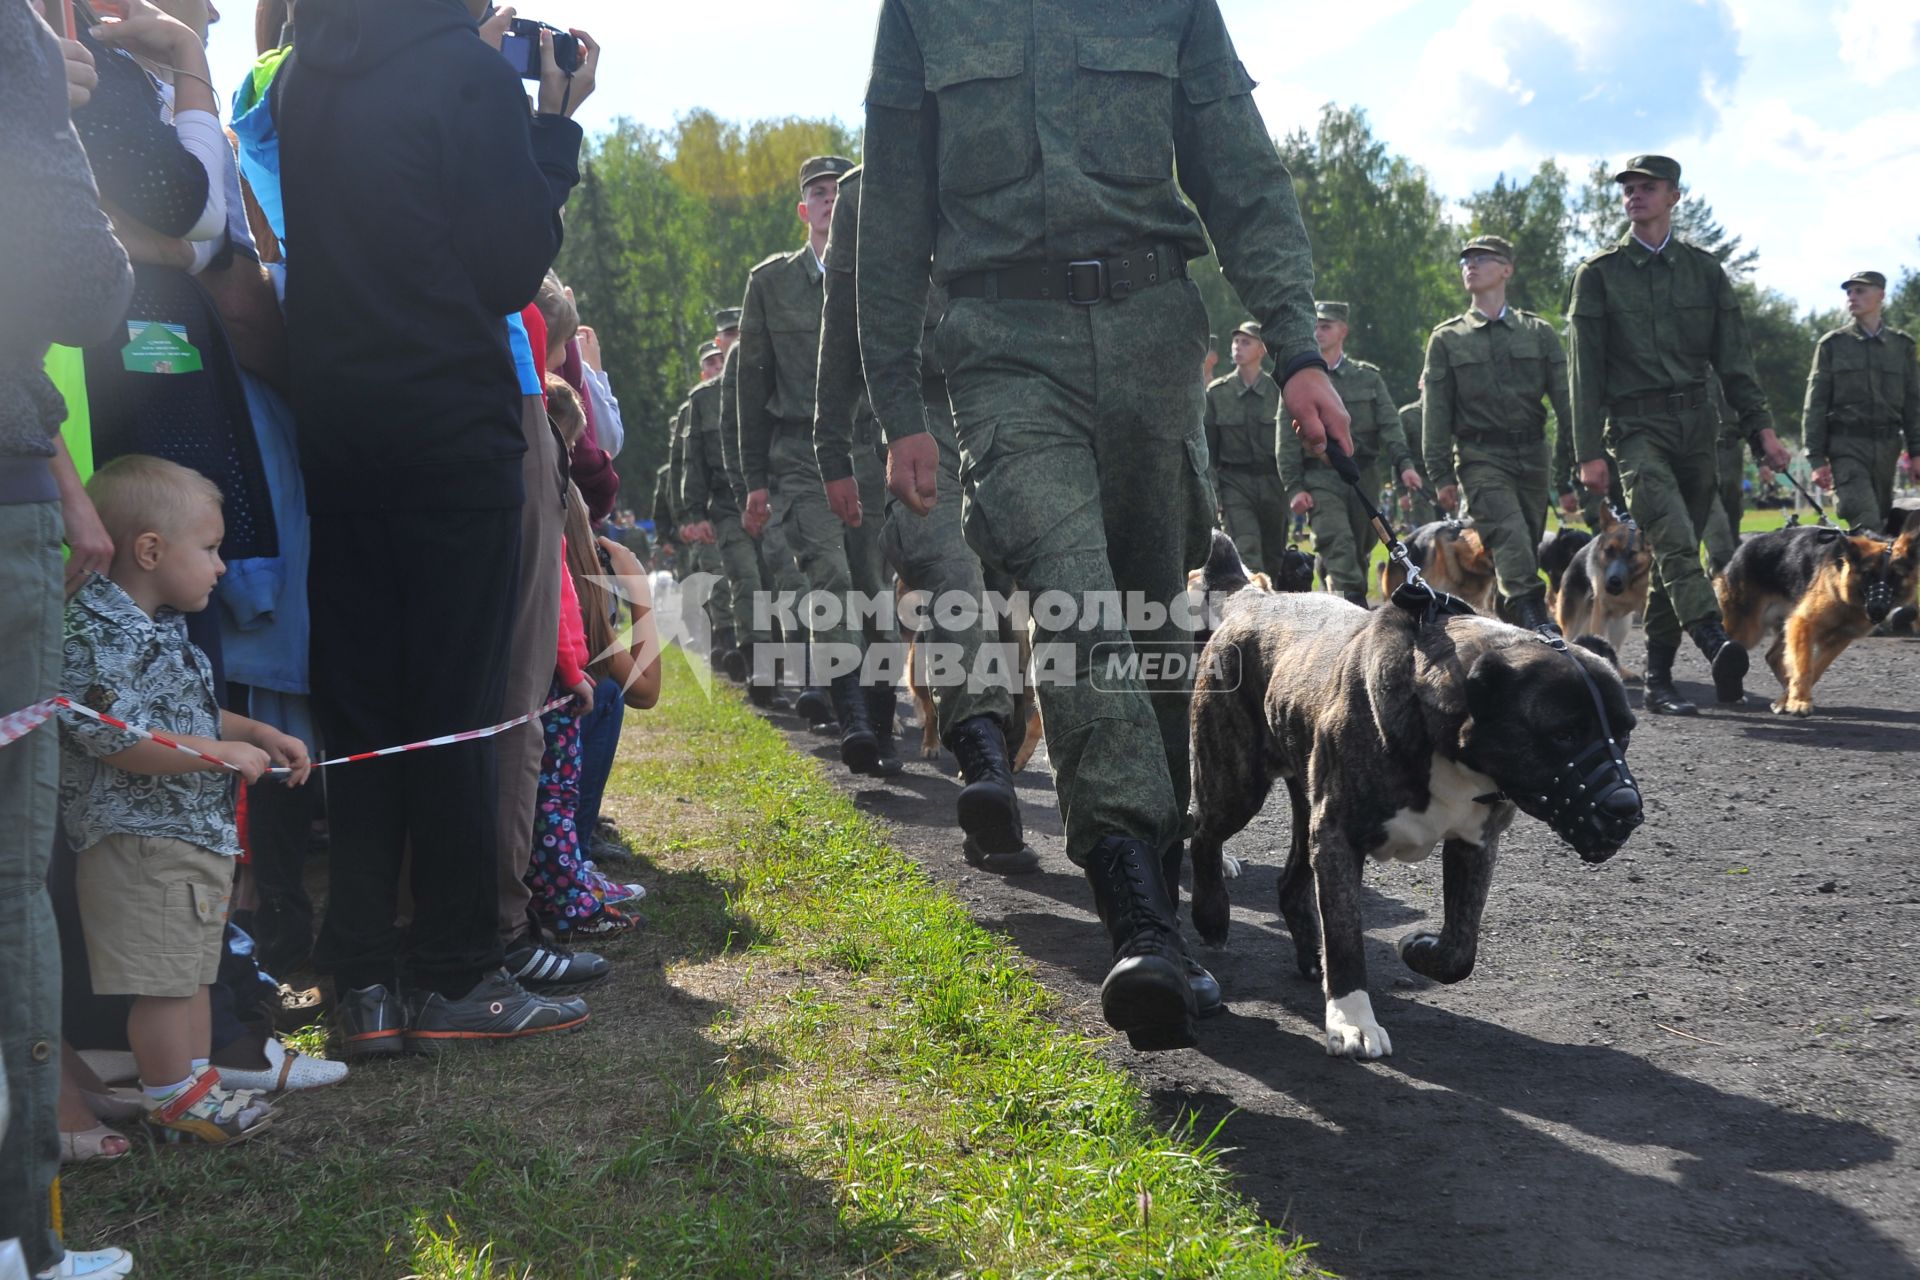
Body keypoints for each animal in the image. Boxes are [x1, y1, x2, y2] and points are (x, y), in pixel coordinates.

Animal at [1175, 533, 1643, 1059]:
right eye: (1564, 734)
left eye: (1625, 733)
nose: (1626, 807)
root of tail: (1251, 597)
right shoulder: (1338, 840)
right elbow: (1346, 937)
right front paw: (1352, 1019)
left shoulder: (1475, 843)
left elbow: (1461, 948)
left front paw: (1420, 950)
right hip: (1236, 781)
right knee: (1205, 834)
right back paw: (1212, 915)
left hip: (1302, 799)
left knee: (1290, 881)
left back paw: (1309, 952)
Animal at [1551, 506, 1658, 679]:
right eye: (1609, 551)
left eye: (1632, 554)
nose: (1613, 582)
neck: (1629, 586)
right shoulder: (1600, 612)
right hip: (1574, 619)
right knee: (1569, 638)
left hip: (1621, 625)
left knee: (1614, 648)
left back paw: (1620, 671)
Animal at [1720, 514, 1912, 717]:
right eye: (1868, 575)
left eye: (1895, 577)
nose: (1877, 609)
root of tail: (1743, 546)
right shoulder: (1804, 623)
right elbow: (1804, 664)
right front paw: (1798, 701)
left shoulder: (1840, 637)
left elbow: (1816, 667)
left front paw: (1792, 699)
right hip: (1749, 630)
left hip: (1784, 624)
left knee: (1772, 656)